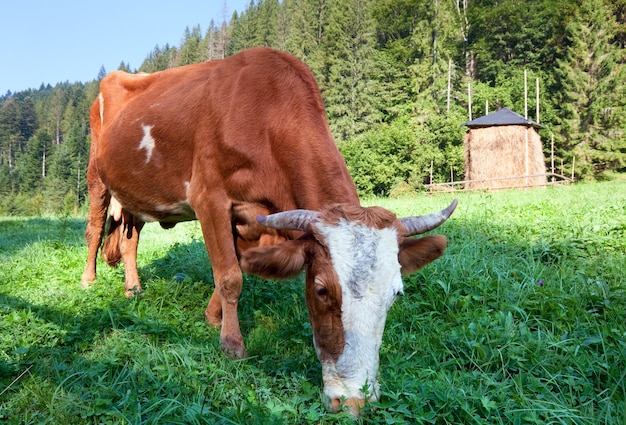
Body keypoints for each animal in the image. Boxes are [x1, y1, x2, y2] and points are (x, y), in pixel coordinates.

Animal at [80, 47, 456, 414]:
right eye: (321, 290)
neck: (267, 121)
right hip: (97, 173)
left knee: (129, 240)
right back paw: (89, 279)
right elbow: (230, 276)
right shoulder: (209, 198)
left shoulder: (256, 220)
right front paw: (232, 344)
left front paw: (213, 317)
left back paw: (133, 288)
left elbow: (238, 266)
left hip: (136, 194)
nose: (354, 400)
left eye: (395, 294)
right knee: (95, 229)